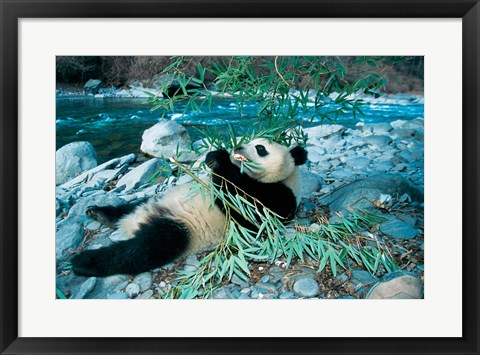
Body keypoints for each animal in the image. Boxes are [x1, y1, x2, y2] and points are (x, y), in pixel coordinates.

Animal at [73, 139, 310, 278]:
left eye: (260, 148)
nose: (237, 148)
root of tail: (135, 223)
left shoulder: (279, 199)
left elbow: (242, 203)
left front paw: (220, 160)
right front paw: (213, 156)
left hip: (181, 229)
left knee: (142, 251)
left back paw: (85, 262)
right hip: (154, 201)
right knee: (129, 207)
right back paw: (100, 213)